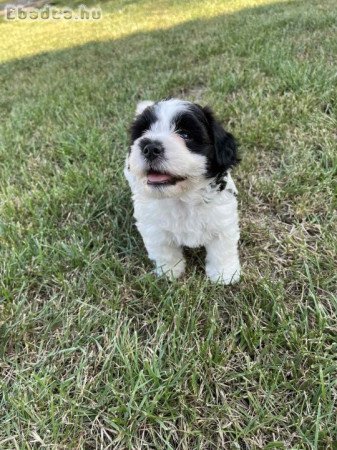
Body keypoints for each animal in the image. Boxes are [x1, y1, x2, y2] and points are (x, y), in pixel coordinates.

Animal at [124, 98, 240, 284]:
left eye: (185, 135)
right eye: (143, 132)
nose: (150, 147)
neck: (182, 198)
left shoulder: (223, 220)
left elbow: (222, 249)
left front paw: (224, 275)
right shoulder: (154, 228)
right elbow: (164, 250)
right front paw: (170, 271)